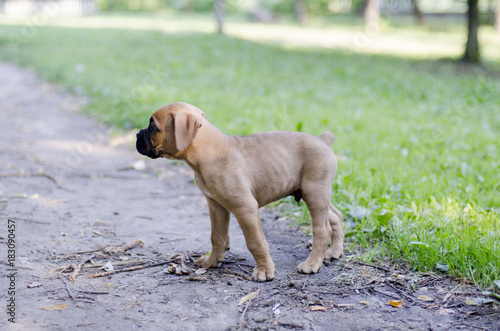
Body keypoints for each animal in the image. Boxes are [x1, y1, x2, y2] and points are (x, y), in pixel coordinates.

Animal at [135, 102, 342, 282]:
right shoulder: (216, 206)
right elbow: (217, 237)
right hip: (315, 193)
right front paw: (211, 261)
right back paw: (334, 252)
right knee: (335, 216)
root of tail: (323, 139)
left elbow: (255, 242)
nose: (137, 134)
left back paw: (312, 264)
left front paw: (264, 270)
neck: (206, 152)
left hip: (314, 192)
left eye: (153, 126)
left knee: (322, 229)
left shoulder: (245, 208)